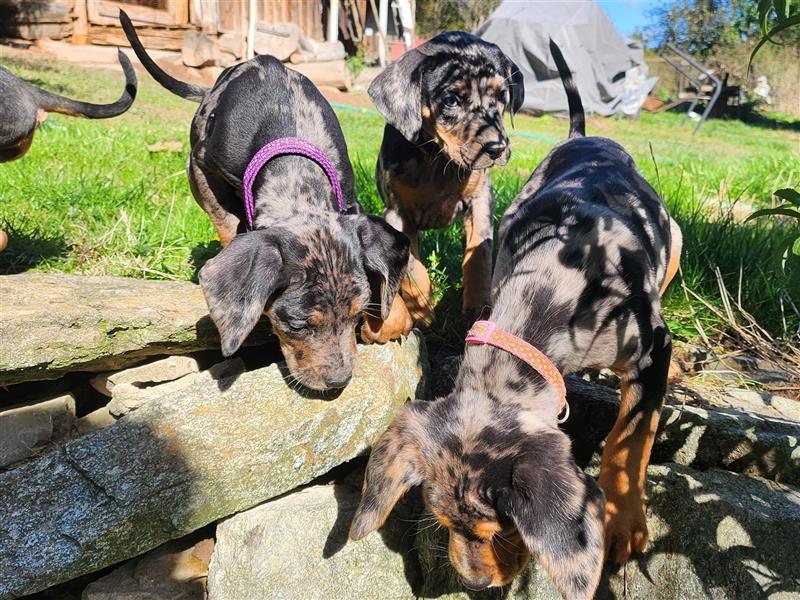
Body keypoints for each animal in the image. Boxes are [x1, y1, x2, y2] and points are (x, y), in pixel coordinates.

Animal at [122, 11, 410, 394]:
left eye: (358, 313)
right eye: (298, 325)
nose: (339, 382)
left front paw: (391, 317)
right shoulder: (199, 168)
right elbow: (226, 225)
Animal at [360, 32, 524, 342]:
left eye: (501, 96)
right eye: (451, 99)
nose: (497, 149)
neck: (438, 159)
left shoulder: (481, 198)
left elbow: (480, 251)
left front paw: (477, 304)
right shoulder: (396, 212)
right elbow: (412, 266)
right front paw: (422, 309)